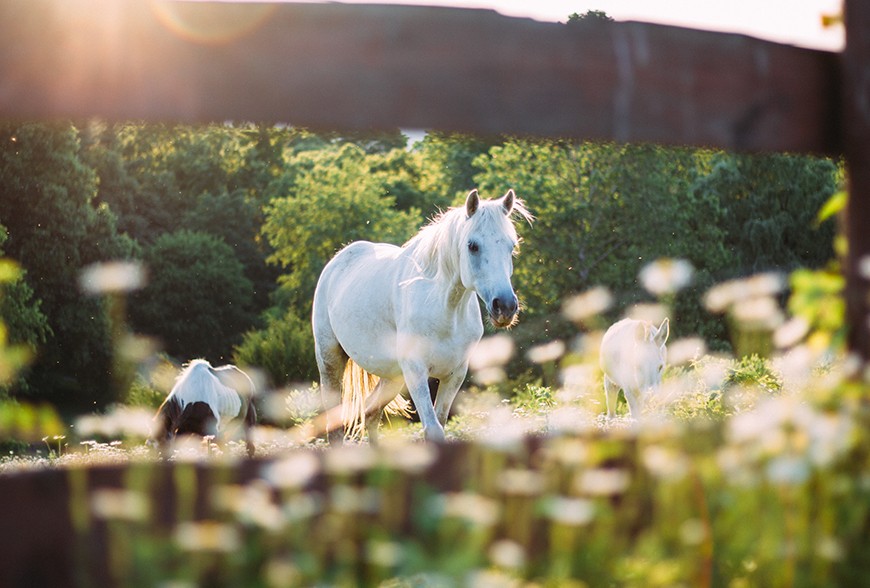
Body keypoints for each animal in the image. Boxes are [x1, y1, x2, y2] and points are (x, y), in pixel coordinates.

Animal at [314, 191, 532, 444]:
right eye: (472, 245)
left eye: (511, 246)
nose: (505, 306)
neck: (444, 311)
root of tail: (338, 260)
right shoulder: (416, 371)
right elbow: (433, 428)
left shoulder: (454, 374)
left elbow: (441, 421)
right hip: (330, 360)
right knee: (335, 423)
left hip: (393, 377)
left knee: (371, 413)